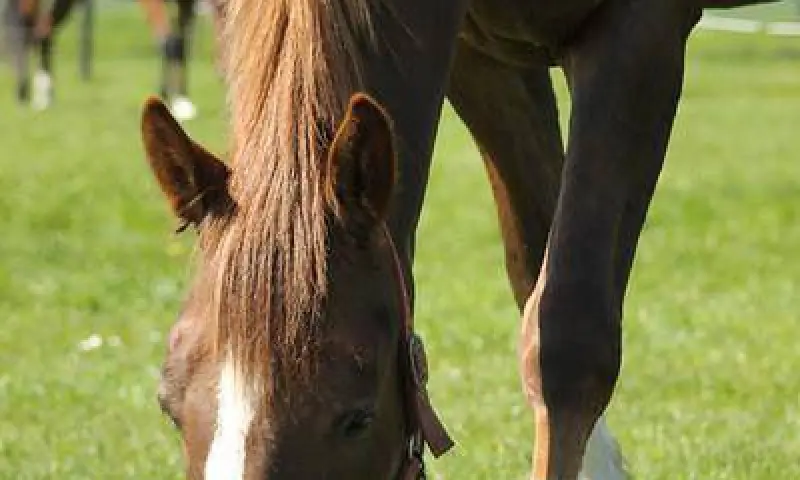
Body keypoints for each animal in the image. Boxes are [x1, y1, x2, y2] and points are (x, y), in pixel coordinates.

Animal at [139, 0, 781, 478]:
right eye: (169, 407)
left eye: (357, 418)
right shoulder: (483, 59)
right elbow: (534, 269)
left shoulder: (641, 33)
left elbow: (569, 340)